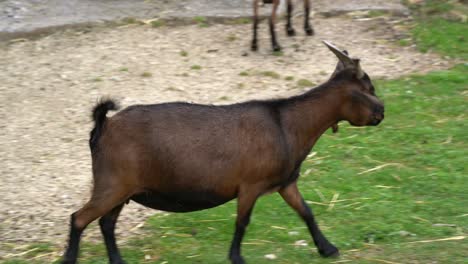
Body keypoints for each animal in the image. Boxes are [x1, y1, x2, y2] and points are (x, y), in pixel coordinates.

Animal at [62, 41, 384, 264]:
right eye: (368, 87)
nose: (382, 113)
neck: (287, 125)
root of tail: (102, 126)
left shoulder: (285, 183)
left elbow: (307, 212)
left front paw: (328, 249)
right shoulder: (250, 185)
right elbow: (242, 222)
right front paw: (237, 257)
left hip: (123, 188)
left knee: (105, 223)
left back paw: (118, 261)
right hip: (113, 182)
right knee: (79, 218)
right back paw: (69, 259)